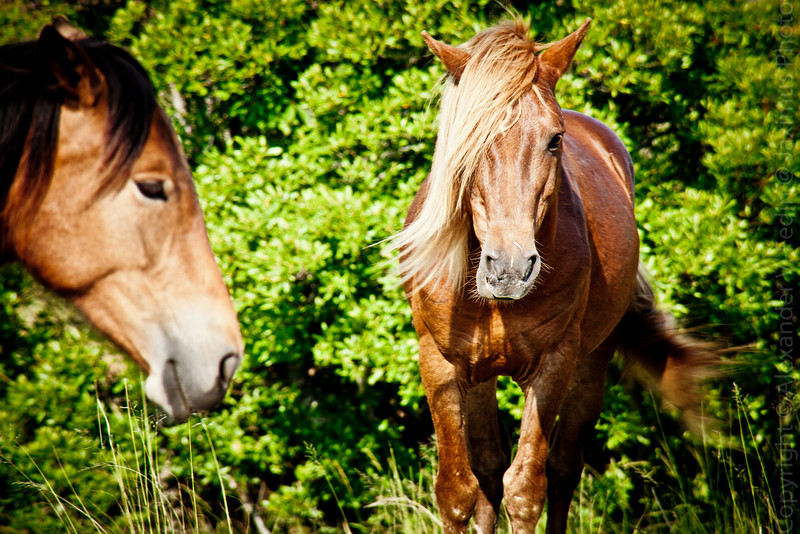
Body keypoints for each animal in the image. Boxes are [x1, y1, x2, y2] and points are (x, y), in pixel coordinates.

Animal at [396, 17, 720, 534]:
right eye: (467, 140)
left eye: (553, 140)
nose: (509, 268)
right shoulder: (439, 362)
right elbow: (459, 491)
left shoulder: (553, 364)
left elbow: (526, 489)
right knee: (488, 472)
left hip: (591, 363)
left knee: (564, 468)